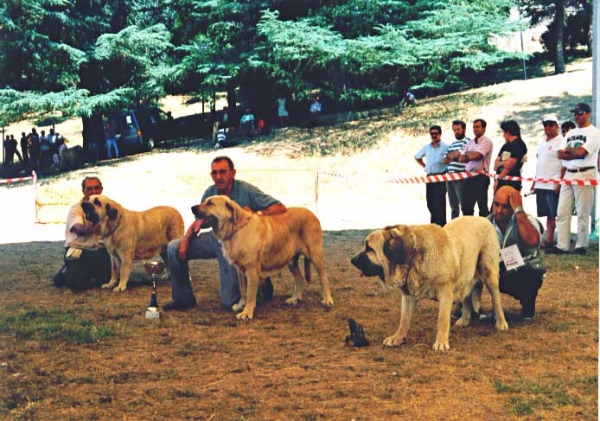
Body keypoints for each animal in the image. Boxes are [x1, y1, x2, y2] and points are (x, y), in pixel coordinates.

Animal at [191, 195, 332, 320]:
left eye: (210, 203)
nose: (192, 208)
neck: (237, 228)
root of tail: (312, 213)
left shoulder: (251, 270)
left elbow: (250, 293)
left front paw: (247, 312)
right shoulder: (240, 270)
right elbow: (243, 290)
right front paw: (241, 305)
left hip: (315, 254)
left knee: (324, 277)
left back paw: (327, 299)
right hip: (291, 261)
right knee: (300, 278)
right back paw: (294, 298)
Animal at [350, 217, 508, 352]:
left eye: (369, 249)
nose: (352, 260)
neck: (413, 256)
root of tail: (484, 219)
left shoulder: (445, 293)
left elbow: (442, 320)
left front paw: (441, 342)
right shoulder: (408, 296)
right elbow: (404, 320)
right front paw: (397, 338)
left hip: (489, 273)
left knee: (496, 299)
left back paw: (501, 323)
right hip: (465, 275)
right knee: (466, 296)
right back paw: (465, 319)